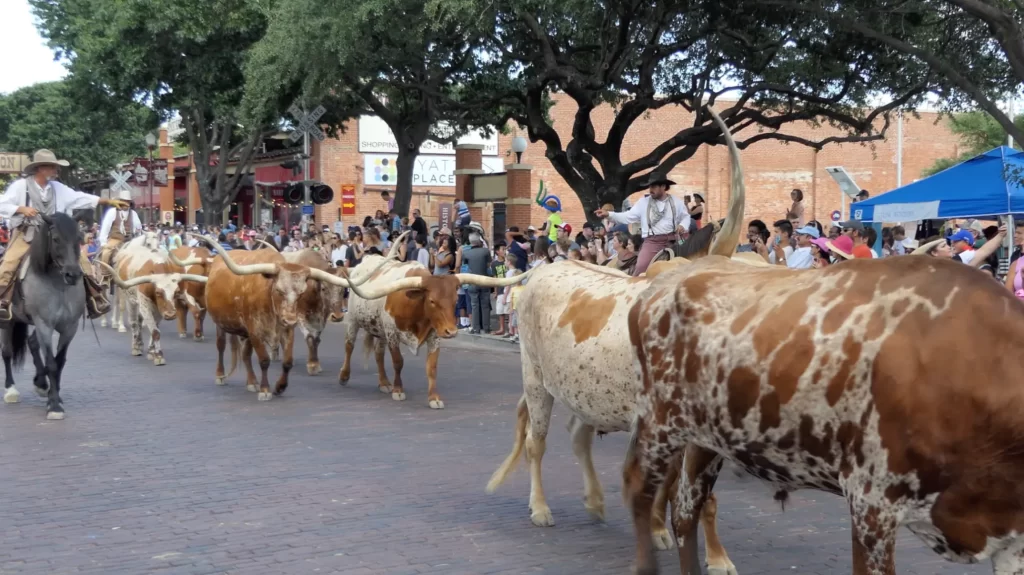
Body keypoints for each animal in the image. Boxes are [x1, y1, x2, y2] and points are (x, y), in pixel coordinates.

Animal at [1, 212, 86, 419]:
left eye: (80, 238)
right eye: (55, 239)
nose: (73, 274)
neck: (58, 284)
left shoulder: (69, 327)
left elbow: (59, 362)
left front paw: (53, 397)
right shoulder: (44, 324)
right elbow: (51, 363)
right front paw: (54, 406)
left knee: (32, 343)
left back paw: (41, 383)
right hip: (8, 320)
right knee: (6, 352)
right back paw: (11, 390)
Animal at [339, 254, 532, 407]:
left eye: (455, 300)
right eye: (431, 301)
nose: (452, 331)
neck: (415, 307)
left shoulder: (434, 336)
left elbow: (431, 367)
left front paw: (434, 398)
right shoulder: (392, 333)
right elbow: (398, 362)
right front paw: (398, 390)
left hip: (378, 329)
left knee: (378, 354)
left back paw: (384, 382)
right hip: (354, 320)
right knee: (349, 346)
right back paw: (344, 376)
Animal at [483, 108, 749, 572]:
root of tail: (544, 269)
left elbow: (693, 495)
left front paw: (693, 546)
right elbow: (686, 492)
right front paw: (690, 546)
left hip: (584, 391)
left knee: (577, 434)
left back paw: (594, 501)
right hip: (536, 379)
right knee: (536, 443)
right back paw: (540, 509)